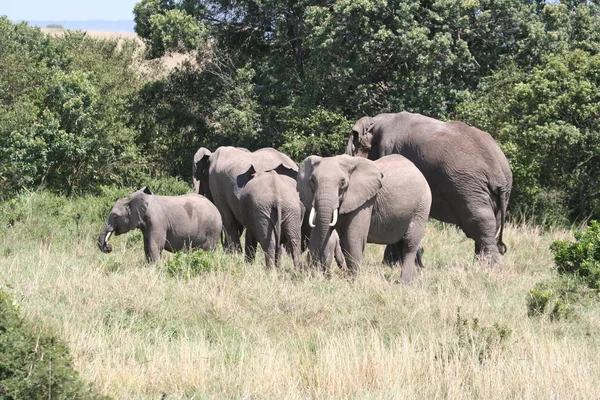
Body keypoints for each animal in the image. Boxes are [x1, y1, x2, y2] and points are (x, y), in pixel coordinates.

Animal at [298, 153, 432, 282]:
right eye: (312, 181)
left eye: (342, 182)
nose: (324, 273)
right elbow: (316, 234)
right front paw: (313, 278)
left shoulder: (366, 201)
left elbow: (354, 237)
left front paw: (352, 282)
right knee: (399, 245)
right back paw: (413, 280)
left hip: (422, 207)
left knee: (409, 244)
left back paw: (405, 283)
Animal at [346, 111, 510, 266]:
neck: (375, 122)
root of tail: (498, 171)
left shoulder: (388, 148)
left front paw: (391, 265)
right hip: (495, 191)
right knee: (491, 224)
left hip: (468, 186)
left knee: (480, 221)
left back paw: (491, 267)